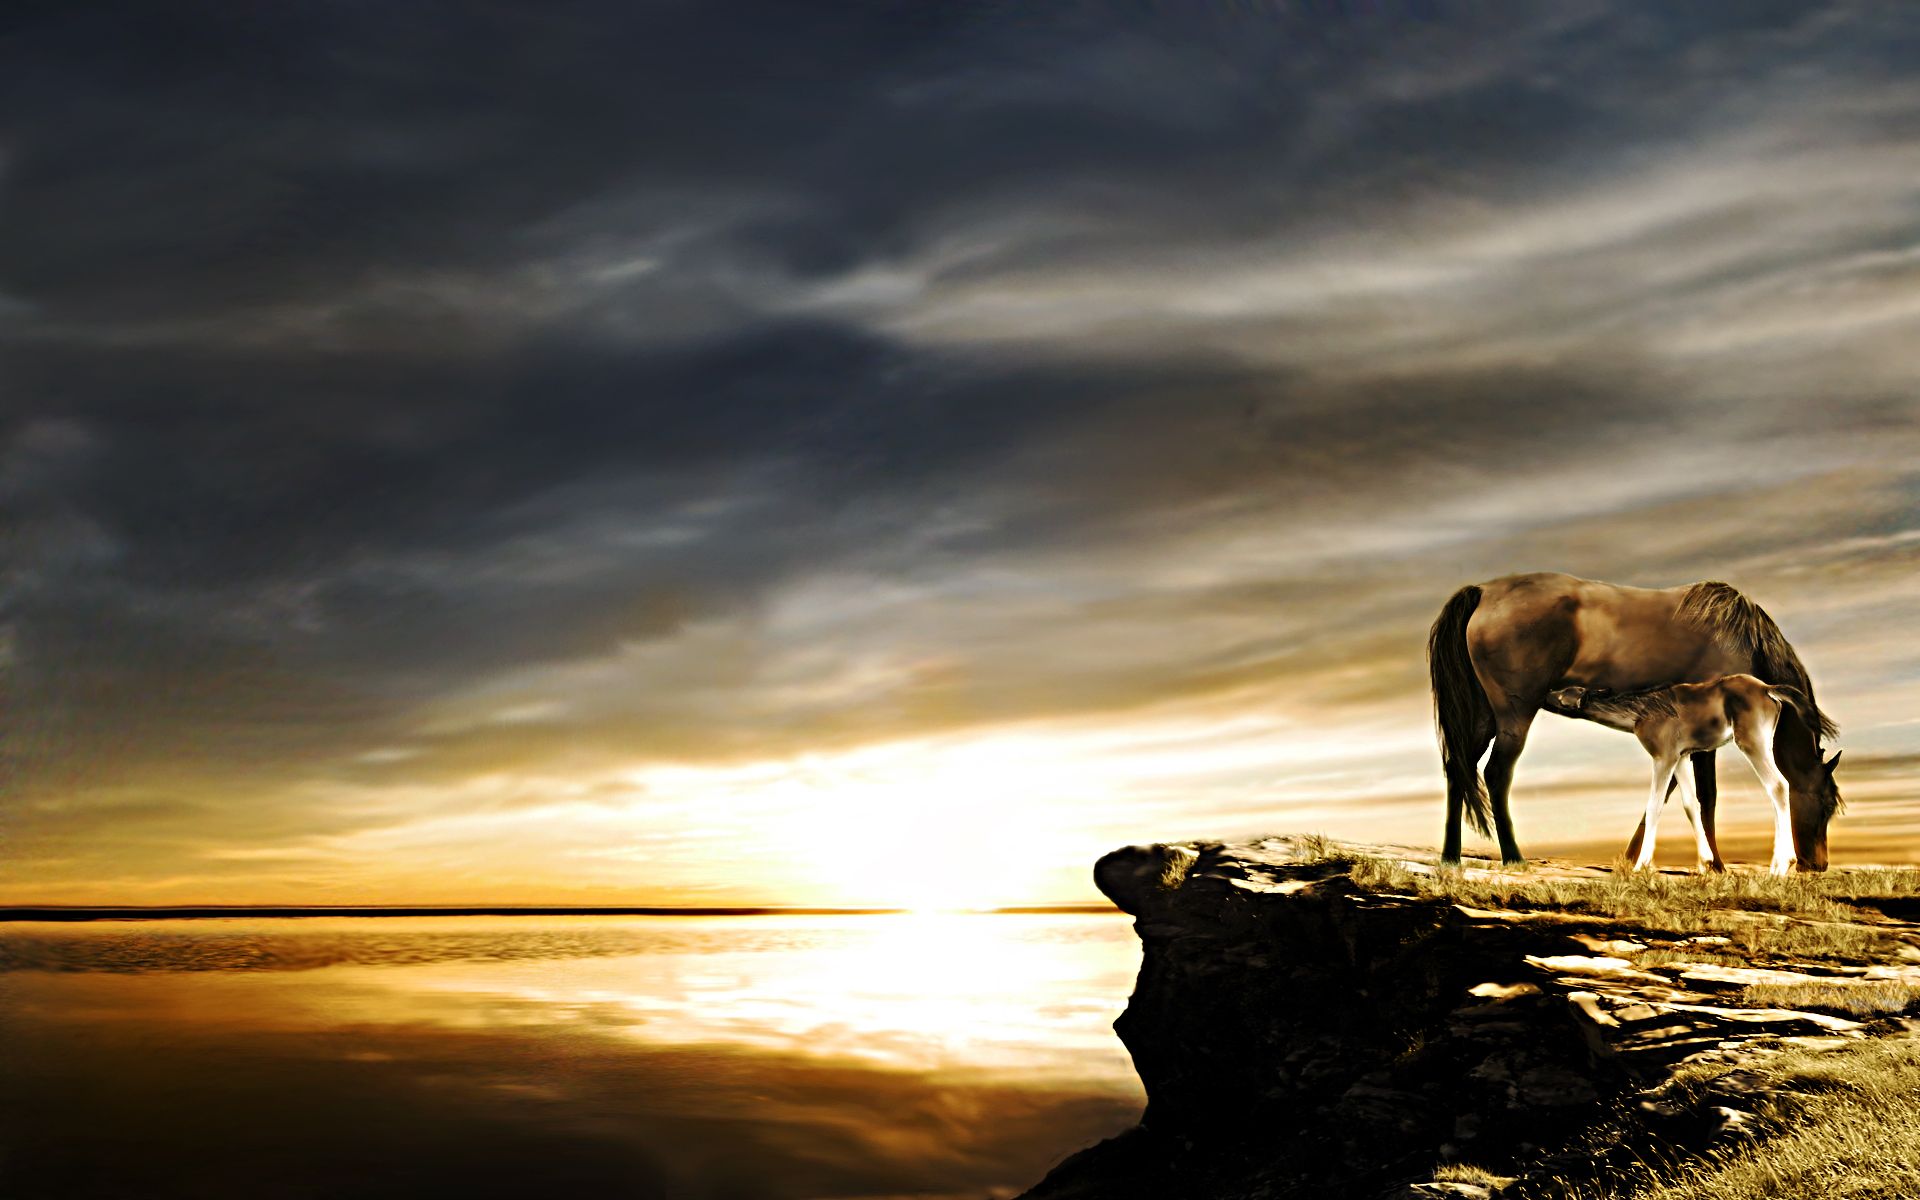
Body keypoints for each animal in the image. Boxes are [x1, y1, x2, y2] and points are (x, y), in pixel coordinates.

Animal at [1546, 677, 1841, 875]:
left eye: (1565, 692)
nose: (1547, 692)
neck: (1641, 712)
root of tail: (1768, 689)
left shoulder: (1663, 757)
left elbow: (1654, 806)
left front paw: (1641, 865)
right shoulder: (1681, 757)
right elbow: (1691, 805)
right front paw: (1704, 864)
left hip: (1751, 742)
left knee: (1778, 785)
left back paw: (1780, 867)